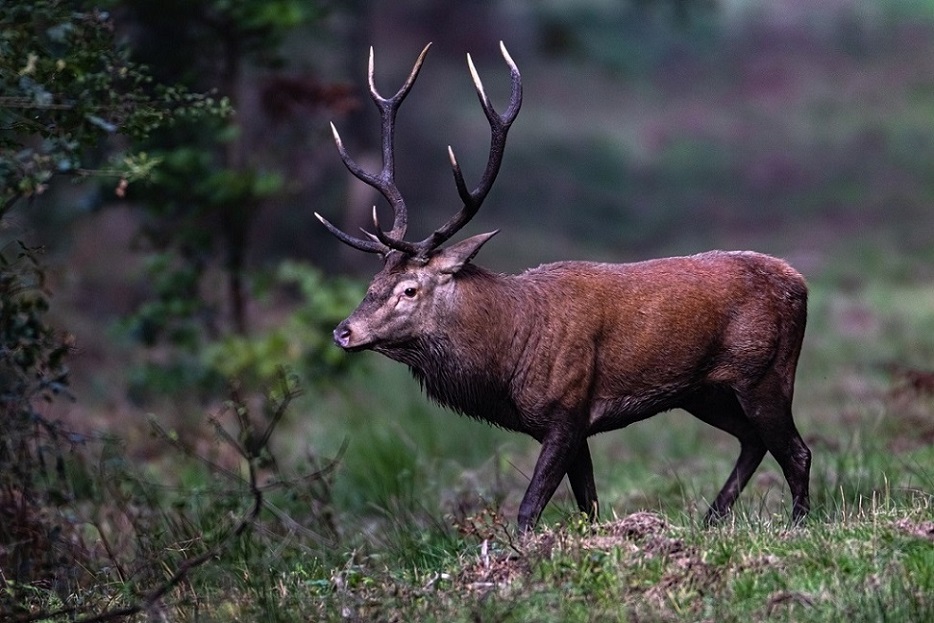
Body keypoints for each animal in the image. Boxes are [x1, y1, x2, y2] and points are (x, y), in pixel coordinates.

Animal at [314, 42, 812, 532]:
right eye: (374, 281)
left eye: (410, 289)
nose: (344, 332)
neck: (507, 358)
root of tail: (799, 282)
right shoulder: (565, 427)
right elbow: (587, 504)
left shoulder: (567, 410)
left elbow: (529, 509)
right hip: (705, 392)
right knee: (753, 440)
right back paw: (711, 518)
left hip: (764, 372)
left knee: (797, 450)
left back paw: (799, 523)